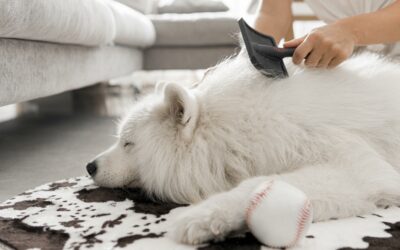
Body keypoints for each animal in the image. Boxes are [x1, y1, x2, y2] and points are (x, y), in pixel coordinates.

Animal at [86, 50, 400, 244]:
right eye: (120, 140)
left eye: (128, 143)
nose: (89, 166)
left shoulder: (356, 169)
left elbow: (256, 185)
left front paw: (199, 218)